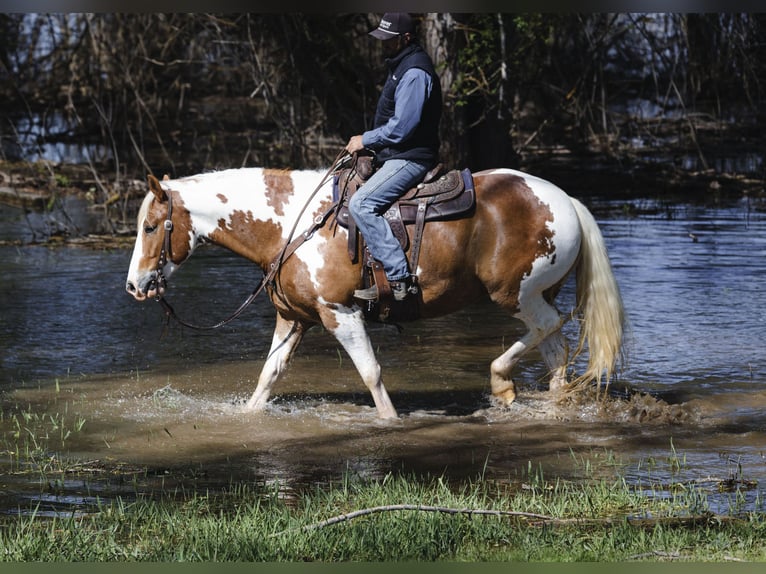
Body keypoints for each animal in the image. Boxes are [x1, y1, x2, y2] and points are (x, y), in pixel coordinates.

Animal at [125, 163, 625, 419]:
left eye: (150, 227)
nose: (134, 285)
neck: (293, 226)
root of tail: (566, 200)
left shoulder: (340, 313)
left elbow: (371, 374)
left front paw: (389, 423)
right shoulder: (295, 318)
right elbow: (267, 378)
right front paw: (247, 419)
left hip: (516, 295)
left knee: (549, 330)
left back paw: (501, 380)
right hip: (536, 295)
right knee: (556, 347)